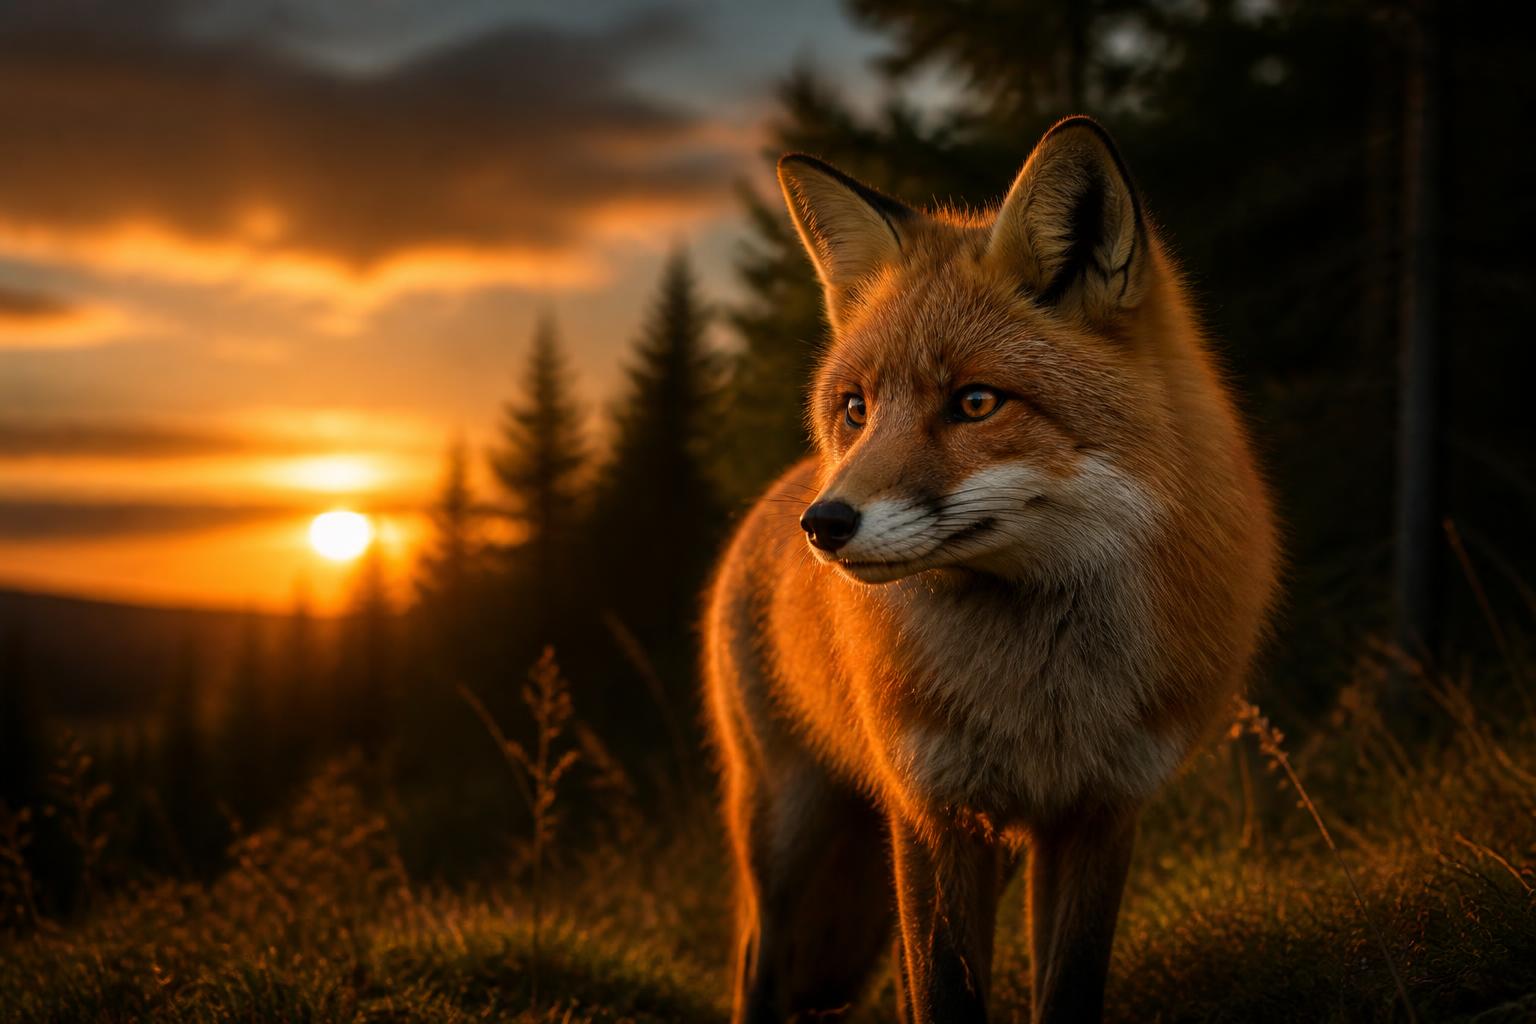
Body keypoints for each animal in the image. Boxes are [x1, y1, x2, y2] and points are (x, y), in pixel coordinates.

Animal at [702, 115, 1279, 1024]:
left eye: (975, 402)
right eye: (857, 409)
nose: (824, 525)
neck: (1041, 699)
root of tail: (773, 495)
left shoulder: (1100, 813)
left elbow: (1065, 988)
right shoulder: (932, 813)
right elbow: (941, 992)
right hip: (785, 823)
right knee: (761, 964)